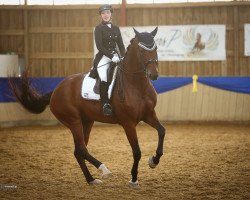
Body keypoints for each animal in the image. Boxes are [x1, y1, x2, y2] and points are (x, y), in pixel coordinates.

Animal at [9, 27, 165, 188]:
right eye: (141, 50)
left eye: (155, 48)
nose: (153, 74)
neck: (136, 86)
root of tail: (56, 90)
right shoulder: (128, 123)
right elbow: (137, 151)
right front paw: (133, 179)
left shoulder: (148, 115)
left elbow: (162, 131)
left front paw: (154, 161)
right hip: (74, 121)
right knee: (81, 148)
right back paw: (104, 170)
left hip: (87, 121)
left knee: (79, 151)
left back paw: (91, 179)